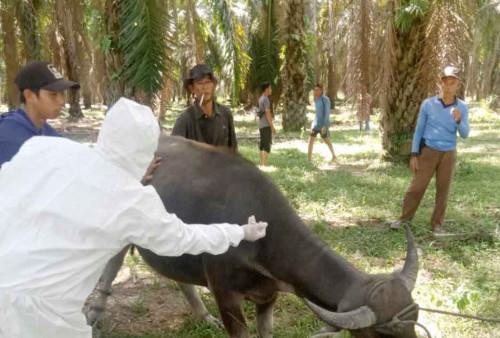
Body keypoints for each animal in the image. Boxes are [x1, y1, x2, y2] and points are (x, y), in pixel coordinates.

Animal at [88, 135, 420, 338]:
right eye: (383, 332)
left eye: (415, 320)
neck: (262, 243)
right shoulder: (226, 295)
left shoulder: (268, 295)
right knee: (111, 266)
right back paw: (94, 314)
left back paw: (202, 315)